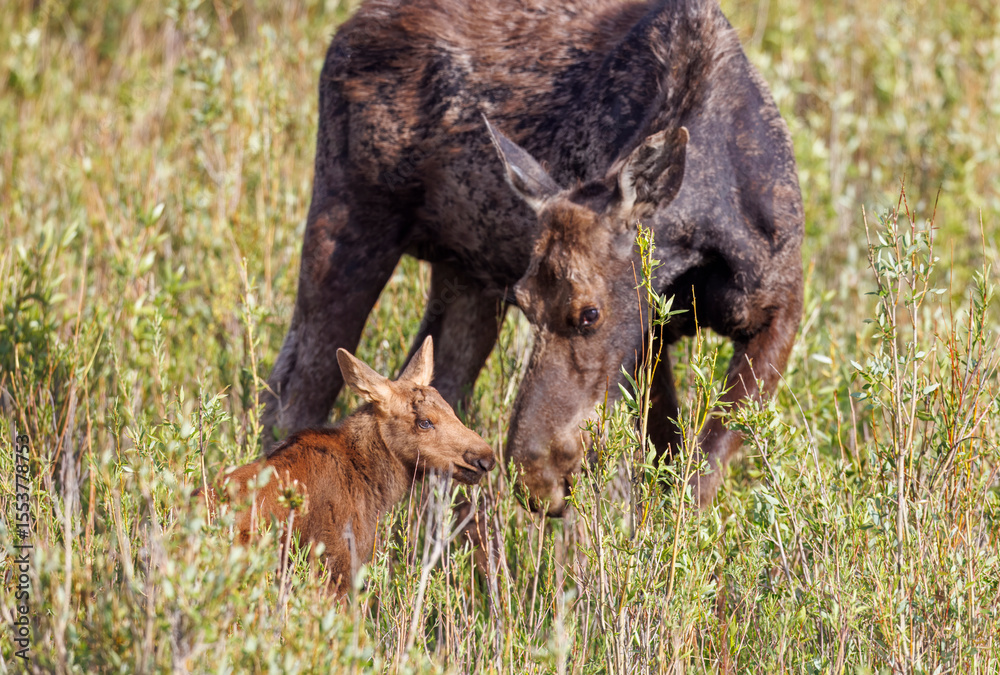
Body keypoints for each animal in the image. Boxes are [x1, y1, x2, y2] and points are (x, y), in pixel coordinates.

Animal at [261, 0, 804, 515]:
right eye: (525, 301)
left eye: (590, 313)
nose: (536, 480)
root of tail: (345, 32)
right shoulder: (654, 334)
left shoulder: (777, 309)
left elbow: (696, 467)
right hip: (348, 217)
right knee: (293, 390)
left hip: (462, 274)